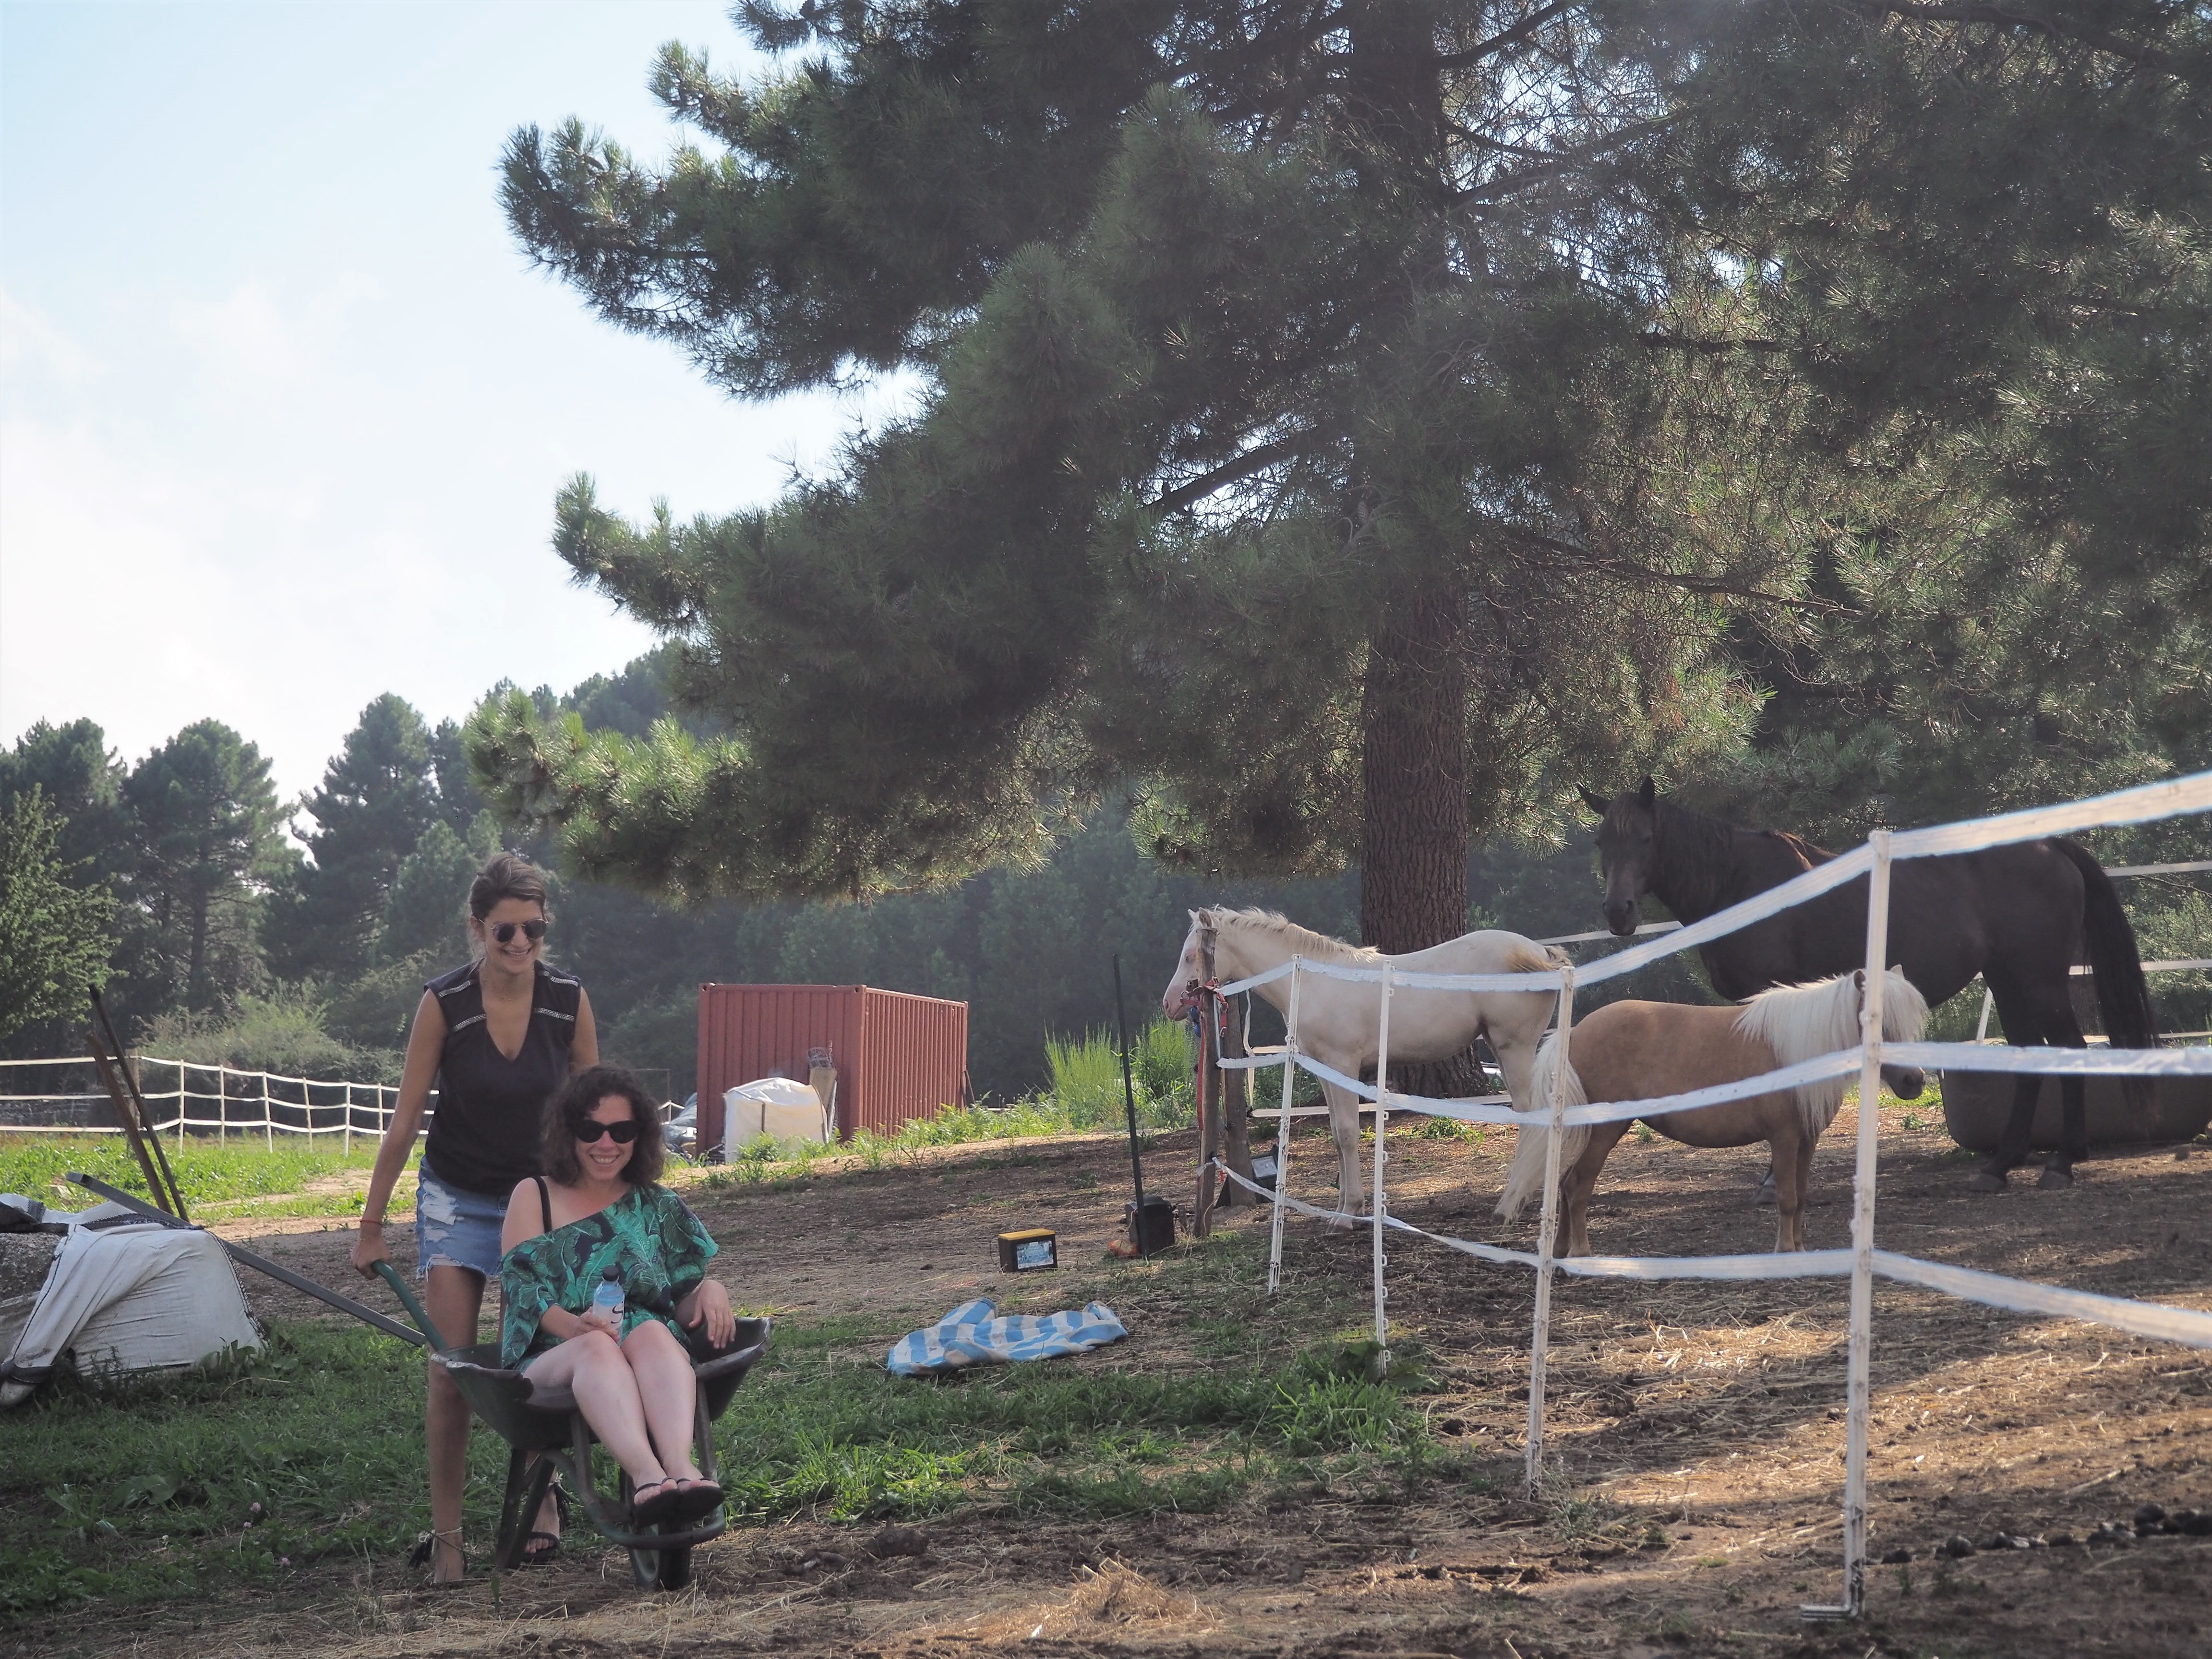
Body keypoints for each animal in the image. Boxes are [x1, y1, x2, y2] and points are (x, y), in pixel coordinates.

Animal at [1163, 908, 1562, 1225]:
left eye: (1190, 955)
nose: (1170, 1004)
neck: (1314, 982)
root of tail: (1540, 953)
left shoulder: (1343, 1066)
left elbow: (1348, 1133)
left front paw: (1348, 1213)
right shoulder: (1326, 1071)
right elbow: (1337, 1136)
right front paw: (1344, 1209)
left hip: (1514, 1048)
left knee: (1533, 1118)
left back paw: (1510, 1205)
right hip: (1502, 1048)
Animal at [1497, 968, 1930, 1254]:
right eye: (1877, 1021)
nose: (1915, 1080)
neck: (1799, 1048)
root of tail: (1575, 1031)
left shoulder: (1807, 1140)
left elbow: (1803, 1195)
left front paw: (1800, 1252)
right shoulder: (1784, 1139)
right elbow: (1787, 1198)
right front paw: (1784, 1252)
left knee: (1563, 1185)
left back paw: (1560, 1253)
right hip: (1604, 1130)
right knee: (1576, 1187)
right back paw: (1582, 1254)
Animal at [1580, 779, 2158, 1191]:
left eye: (1647, 839)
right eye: (1601, 841)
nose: (1617, 911)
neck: (1740, 884)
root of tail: (2049, 846)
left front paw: (1772, 1179)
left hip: (2039, 981)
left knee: (2070, 1050)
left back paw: (2061, 1163)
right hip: (2010, 980)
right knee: (2027, 1059)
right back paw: (1999, 1165)